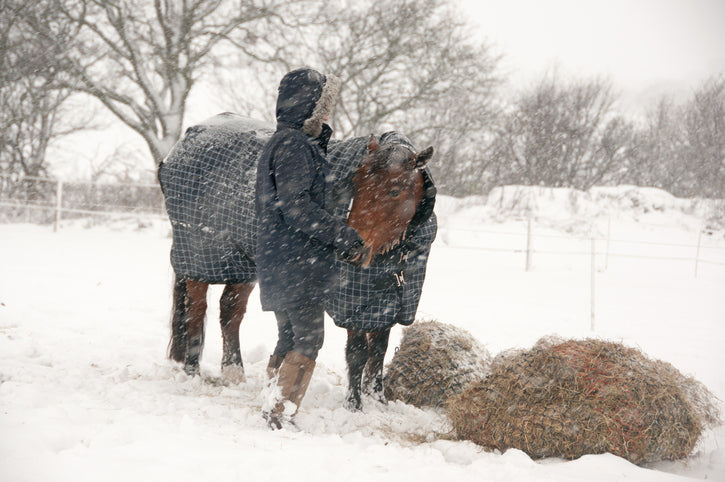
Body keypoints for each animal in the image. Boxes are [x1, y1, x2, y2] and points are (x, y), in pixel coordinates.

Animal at [158, 113, 435, 410]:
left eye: (394, 191)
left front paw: (378, 399)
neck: (396, 254)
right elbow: (358, 353)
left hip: (241, 264)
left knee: (230, 313)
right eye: (356, 183)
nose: (354, 248)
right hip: (199, 257)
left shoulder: (386, 303)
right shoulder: (351, 302)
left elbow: (379, 351)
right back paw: (192, 372)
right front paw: (354, 405)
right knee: (196, 311)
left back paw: (234, 372)